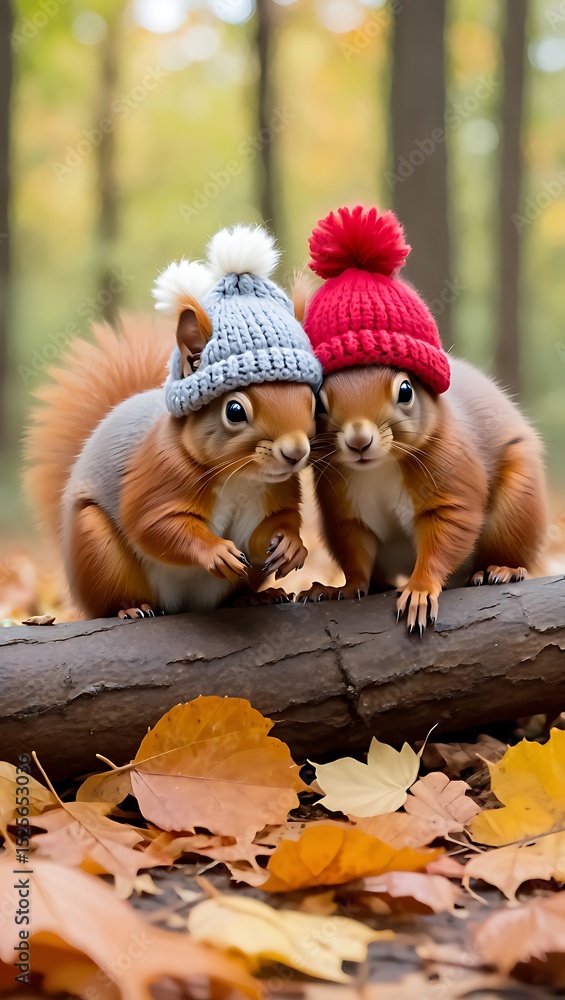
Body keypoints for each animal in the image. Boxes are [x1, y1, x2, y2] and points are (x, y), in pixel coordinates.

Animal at [25, 225, 322, 619]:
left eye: (312, 401)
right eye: (234, 411)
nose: (295, 452)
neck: (240, 478)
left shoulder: (273, 491)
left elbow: (275, 523)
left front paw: (290, 544)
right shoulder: (160, 474)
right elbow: (155, 525)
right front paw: (215, 551)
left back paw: (254, 597)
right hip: (97, 549)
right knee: (110, 599)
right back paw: (131, 609)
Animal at [295, 205, 549, 633]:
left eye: (406, 391)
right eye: (319, 404)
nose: (358, 442)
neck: (378, 469)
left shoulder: (449, 481)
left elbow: (443, 538)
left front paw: (419, 590)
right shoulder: (343, 507)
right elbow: (355, 553)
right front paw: (341, 588)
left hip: (519, 504)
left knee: (514, 552)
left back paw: (500, 569)